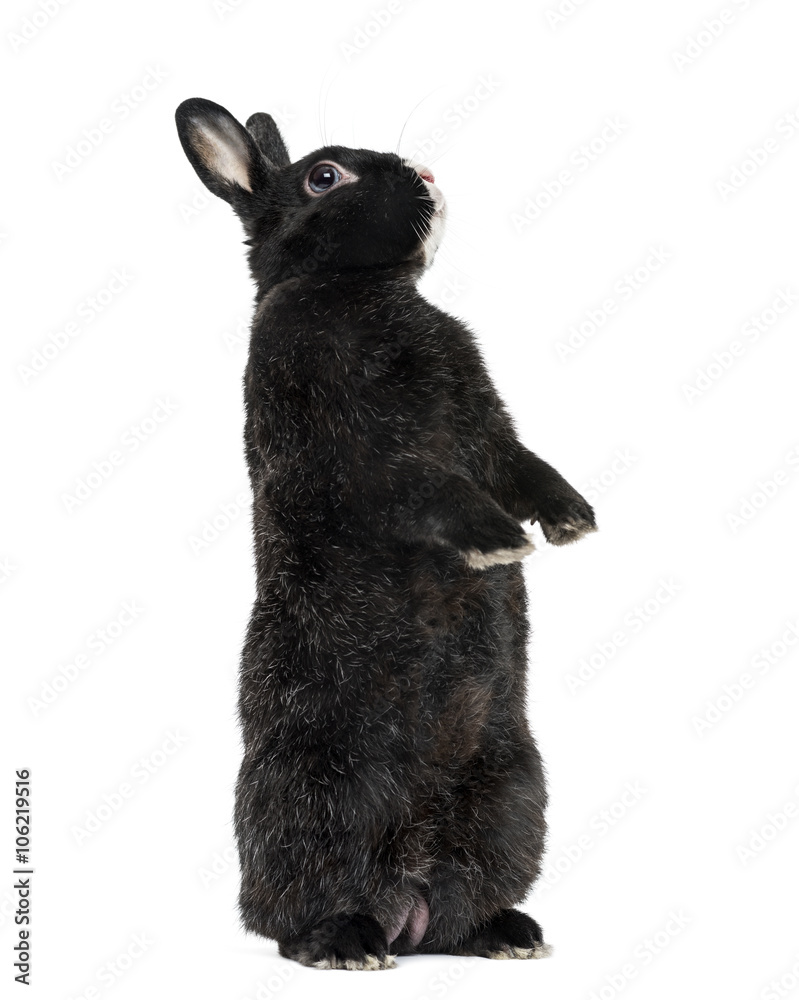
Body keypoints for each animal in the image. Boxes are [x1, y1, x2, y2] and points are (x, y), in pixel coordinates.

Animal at [175, 97, 597, 971]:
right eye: (324, 176)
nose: (427, 172)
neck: (351, 286)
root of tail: (407, 895)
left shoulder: (491, 434)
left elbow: (526, 466)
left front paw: (573, 521)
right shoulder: (366, 453)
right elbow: (434, 490)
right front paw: (501, 543)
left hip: (512, 799)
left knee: (462, 909)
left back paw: (509, 935)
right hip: (310, 797)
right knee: (289, 911)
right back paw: (346, 945)